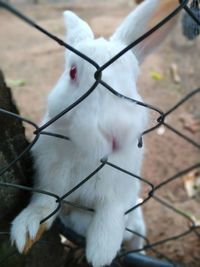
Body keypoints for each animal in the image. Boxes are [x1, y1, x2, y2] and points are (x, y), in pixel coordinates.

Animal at [11, 1, 175, 266]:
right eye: (72, 72)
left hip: (138, 223)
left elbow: (109, 219)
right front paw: (26, 231)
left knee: (137, 239)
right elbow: (43, 202)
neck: (88, 154)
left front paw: (100, 253)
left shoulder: (117, 195)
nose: (117, 134)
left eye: (134, 80)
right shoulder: (50, 180)